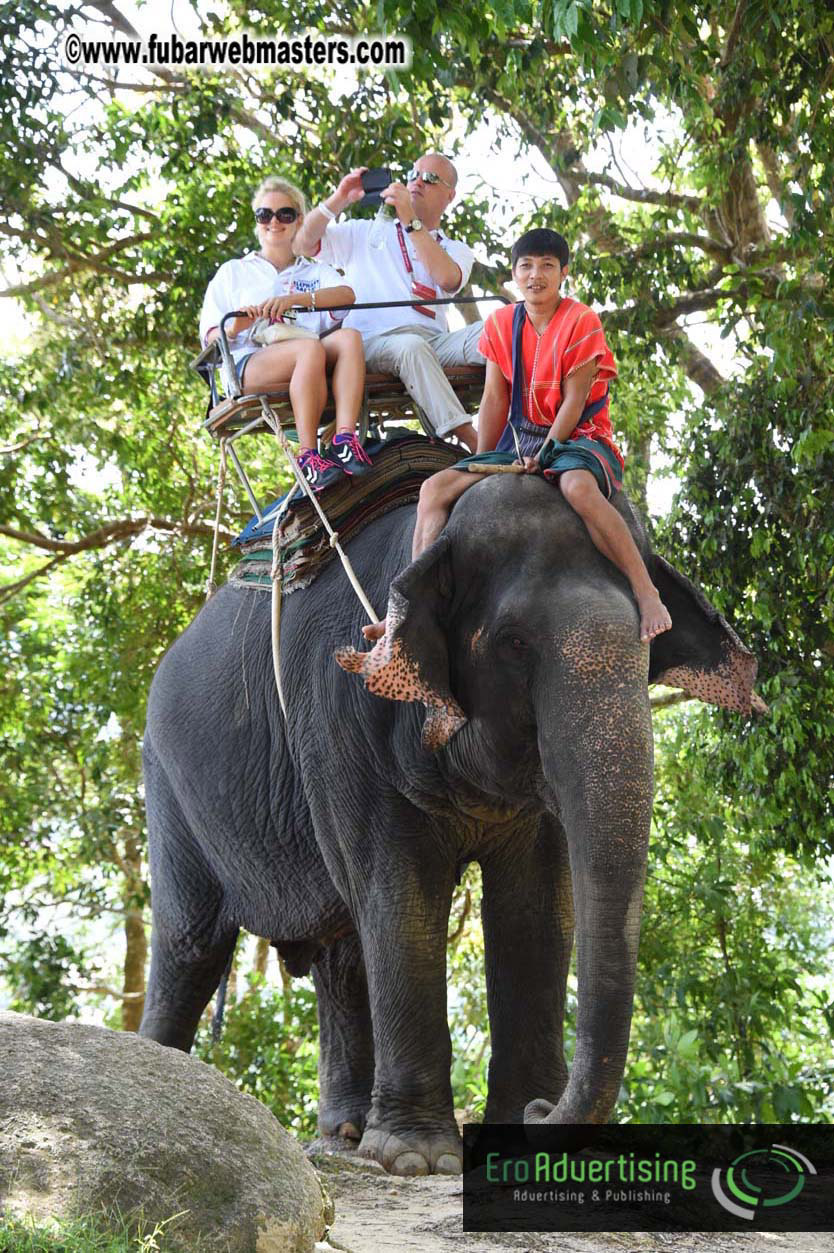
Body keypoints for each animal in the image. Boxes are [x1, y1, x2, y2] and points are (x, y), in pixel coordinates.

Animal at [139, 470, 763, 1176]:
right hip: (168, 781)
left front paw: (510, 1147)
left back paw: (343, 1138)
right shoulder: (340, 711)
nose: (543, 1114)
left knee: (339, 954)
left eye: (651, 644)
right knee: (192, 943)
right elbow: (401, 896)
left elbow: (536, 909)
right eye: (514, 643)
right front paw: (418, 1160)